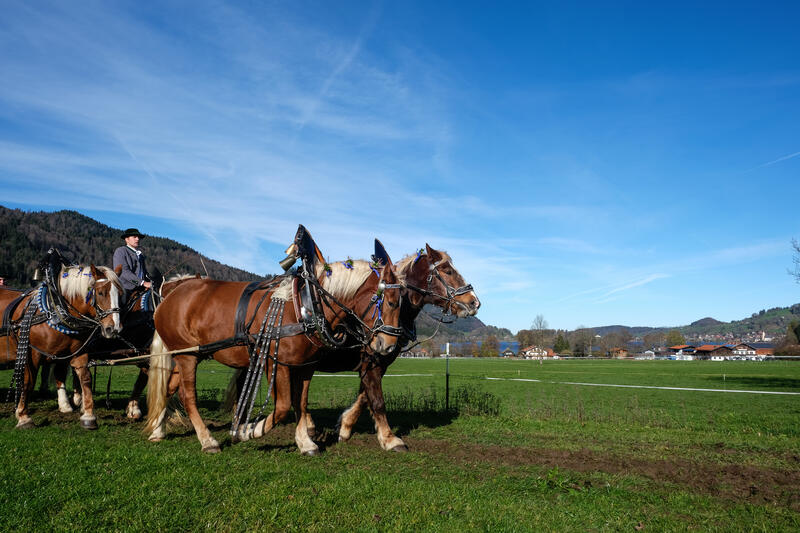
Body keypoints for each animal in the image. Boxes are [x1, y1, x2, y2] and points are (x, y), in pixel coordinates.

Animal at [0, 251, 122, 430]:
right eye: (100, 293)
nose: (114, 329)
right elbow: (28, 382)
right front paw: (23, 417)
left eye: (120, 294)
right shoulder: (31, 353)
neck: (56, 308)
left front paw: (88, 415)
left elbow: (85, 378)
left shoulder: (77, 352)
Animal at [298, 243, 476, 450]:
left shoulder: (378, 364)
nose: (474, 302)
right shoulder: (371, 362)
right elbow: (376, 400)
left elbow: (364, 397)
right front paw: (389, 439)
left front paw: (345, 426)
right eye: (448, 271)